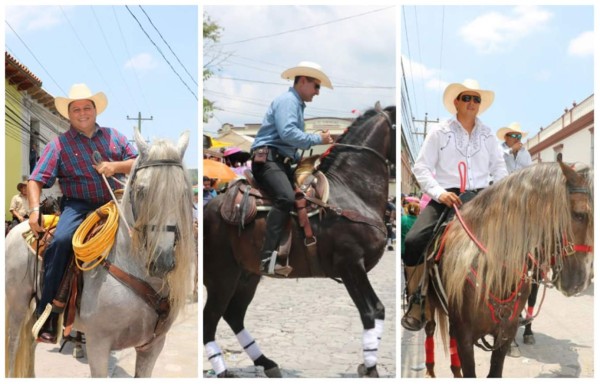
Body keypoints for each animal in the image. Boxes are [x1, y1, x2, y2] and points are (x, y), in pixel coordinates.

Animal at [4, 127, 195, 376]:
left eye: (183, 192)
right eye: (142, 191)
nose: (161, 261)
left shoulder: (152, 346)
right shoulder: (98, 344)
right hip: (16, 305)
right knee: (13, 346)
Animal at [204, 105, 396, 378]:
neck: (351, 193)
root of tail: (211, 206)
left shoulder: (353, 269)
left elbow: (376, 312)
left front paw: (367, 363)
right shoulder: (351, 266)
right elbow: (372, 311)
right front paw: (370, 367)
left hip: (247, 276)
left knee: (234, 315)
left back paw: (267, 362)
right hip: (222, 276)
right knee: (210, 318)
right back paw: (222, 370)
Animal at [420, 160, 592, 378]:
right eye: (580, 215)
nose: (582, 280)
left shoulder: (505, 333)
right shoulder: (465, 338)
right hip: (429, 304)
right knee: (430, 328)